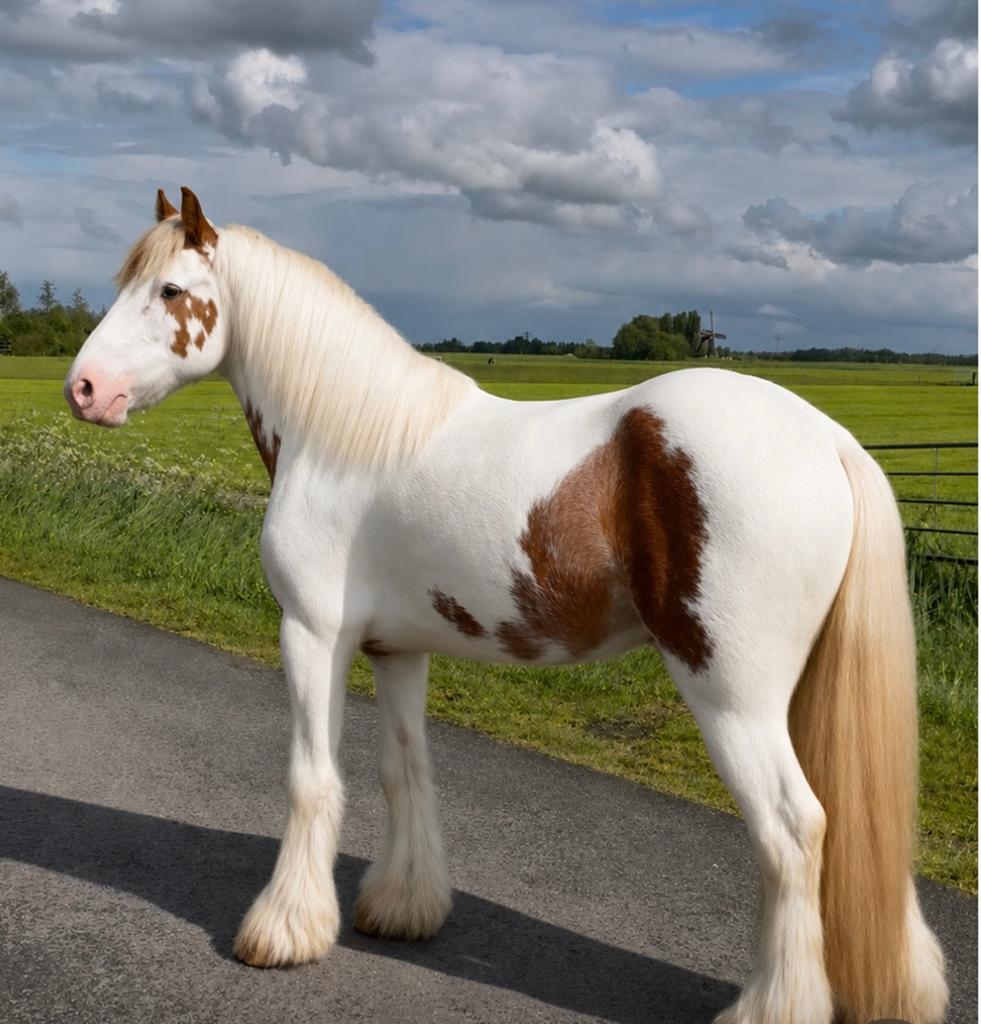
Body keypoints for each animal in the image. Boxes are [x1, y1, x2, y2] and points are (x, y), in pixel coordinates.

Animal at [64, 187, 948, 1024]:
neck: (344, 439)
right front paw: (402, 908)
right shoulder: (396, 650)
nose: (84, 388)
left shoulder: (311, 635)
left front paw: (282, 933)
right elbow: (404, 770)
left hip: (734, 696)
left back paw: (770, 1004)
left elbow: (310, 778)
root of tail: (827, 440)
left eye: (170, 289)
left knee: (792, 831)